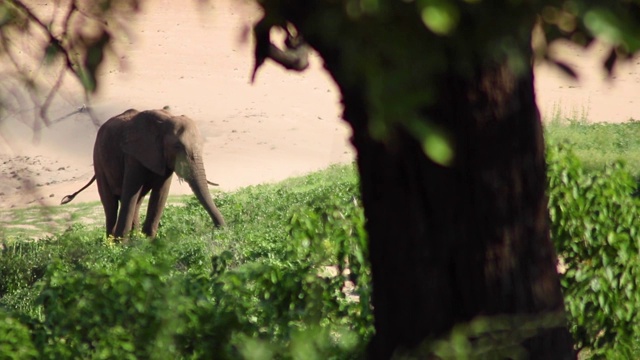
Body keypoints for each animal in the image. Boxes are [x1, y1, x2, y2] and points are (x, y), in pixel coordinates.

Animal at [60, 109, 225, 239]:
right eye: (177, 146)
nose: (220, 228)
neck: (165, 121)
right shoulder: (133, 155)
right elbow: (130, 192)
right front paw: (121, 247)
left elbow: (160, 194)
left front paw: (147, 242)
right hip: (99, 161)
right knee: (111, 204)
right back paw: (110, 243)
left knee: (137, 202)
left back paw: (134, 238)